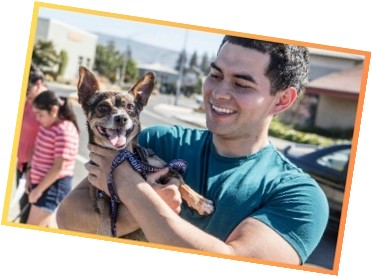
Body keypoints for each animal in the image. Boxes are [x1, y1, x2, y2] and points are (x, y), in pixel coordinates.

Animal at [77, 66, 214, 239]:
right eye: (102, 108)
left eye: (130, 107)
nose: (121, 118)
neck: (125, 156)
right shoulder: (100, 194)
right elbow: (105, 217)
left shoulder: (167, 169)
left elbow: (183, 185)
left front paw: (201, 202)